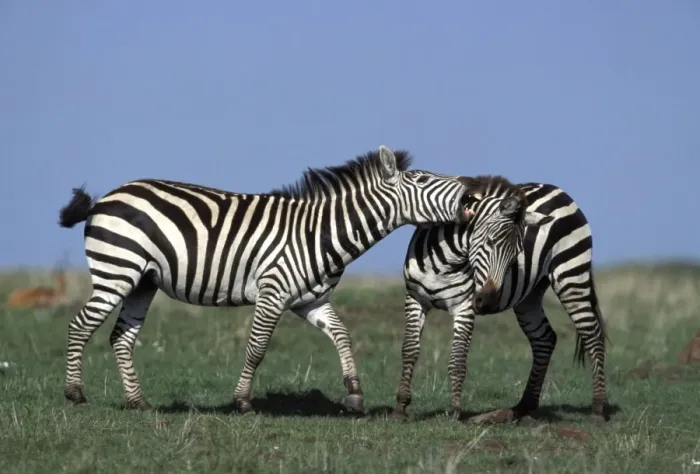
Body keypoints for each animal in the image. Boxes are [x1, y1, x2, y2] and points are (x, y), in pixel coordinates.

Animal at [57, 145, 479, 415]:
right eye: (421, 180)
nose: (470, 191)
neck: (318, 233)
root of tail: (104, 199)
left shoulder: (309, 300)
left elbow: (343, 335)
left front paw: (355, 395)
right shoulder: (273, 292)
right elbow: (257, 348)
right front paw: (243, 401)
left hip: (143, 281)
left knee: (120, 337)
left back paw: (138, 403)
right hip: (117, 270)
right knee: (80, 326)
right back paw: (76, 394)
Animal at [392, 175, 609, 423]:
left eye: (516, 255)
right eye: (489, 241)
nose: (487, 301)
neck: (444, 262)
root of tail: (557, 189)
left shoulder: (465, 307)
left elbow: (457, 359)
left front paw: (454, 412)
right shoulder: (415, 298)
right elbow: (409, 350)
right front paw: (400, 408)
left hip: (571, 275)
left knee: (592, 334)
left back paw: (598, 409)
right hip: (529, 296)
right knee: (544, 338)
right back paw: (523, 407)